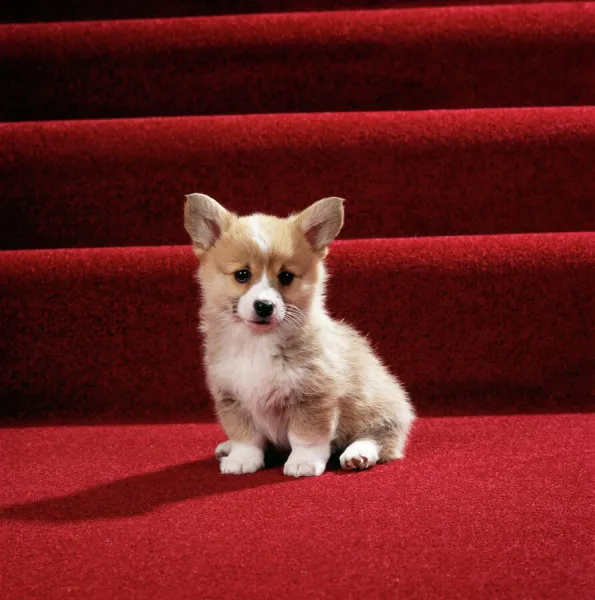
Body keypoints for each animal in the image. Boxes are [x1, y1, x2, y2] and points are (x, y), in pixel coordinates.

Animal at [185, 195, 414, 476]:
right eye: (242, 274)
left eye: (286, 276)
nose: (264, 306)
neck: (257, 342)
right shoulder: (231, 397)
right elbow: (245, 436)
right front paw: (241, 459)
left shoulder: (313, 396)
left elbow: (306, 437)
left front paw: (303, 463)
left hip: (377, 403)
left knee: (379, 435)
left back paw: (358, 455)